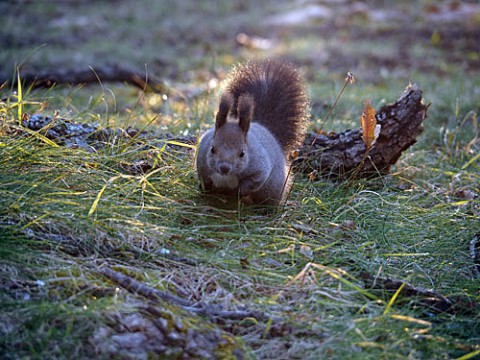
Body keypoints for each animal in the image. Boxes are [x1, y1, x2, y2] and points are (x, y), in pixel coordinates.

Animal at [196, 58, 312, 205]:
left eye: (242, 154)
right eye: (212, 149)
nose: (224, 168)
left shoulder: (260, 165)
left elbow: (256, 179)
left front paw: (240, 191)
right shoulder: (201, 159)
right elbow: (202, 175)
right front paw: (205, 186)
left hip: (273, 188)